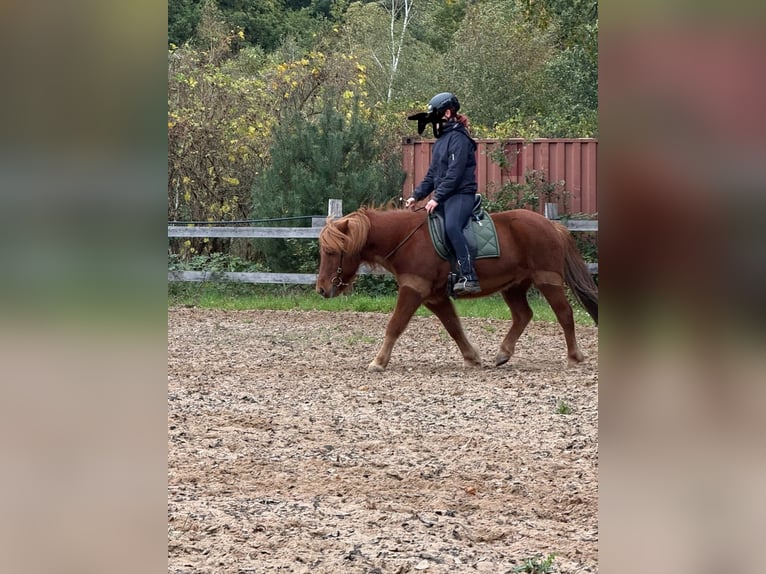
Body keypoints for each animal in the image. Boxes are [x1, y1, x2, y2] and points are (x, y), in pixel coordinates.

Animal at [316, 205, 598, 372]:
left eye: (331, 252)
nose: (321, 289)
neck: (406, 239)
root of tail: (552, 226)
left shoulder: (413, 290)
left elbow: (395, 325)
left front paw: (378, 361)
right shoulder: (434, 297)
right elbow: (453, 327)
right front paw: (471, 357)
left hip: (548, 280)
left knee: (564, 314)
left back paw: (574, 356)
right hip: (514, 286)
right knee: (523, 315)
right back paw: (503, 353)